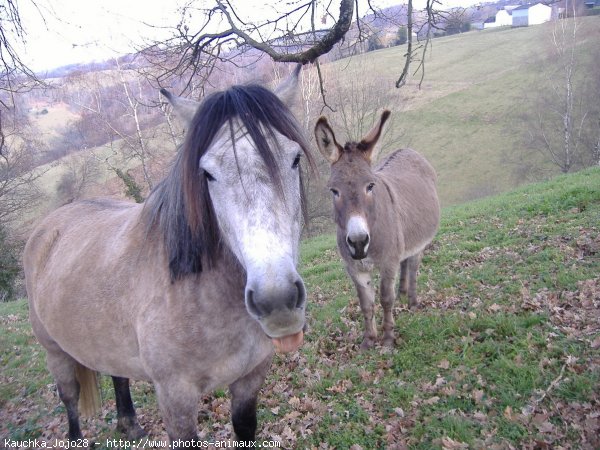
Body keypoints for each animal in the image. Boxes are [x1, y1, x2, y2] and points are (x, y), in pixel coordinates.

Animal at [23, 67, 314, 446]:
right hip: (55, 352)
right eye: (207, 174)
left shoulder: (250, 379)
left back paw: (129, 425)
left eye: (294, 158)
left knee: (117, 374)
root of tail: (48, 225)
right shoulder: (176, 398)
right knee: (69, 396)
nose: (277, 302)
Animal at [314, 110, 440, 350]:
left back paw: (412, 302)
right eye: (334, 191)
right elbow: (366, 303)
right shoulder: (354, 268)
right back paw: (402, 293)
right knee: (405, 263)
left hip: (419, 243)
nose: (358, 242)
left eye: (370, 186)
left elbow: (385, 299)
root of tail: (408, 150)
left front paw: (388, 339)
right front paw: (368, 340)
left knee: (413, 268)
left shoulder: (388, 262)